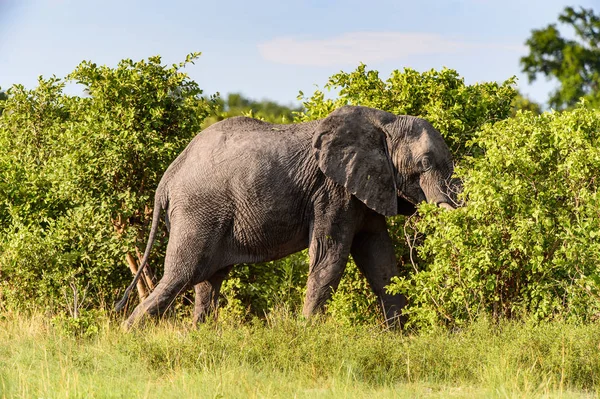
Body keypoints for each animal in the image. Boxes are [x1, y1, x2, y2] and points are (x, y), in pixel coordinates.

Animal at [115, 104, 458, 330]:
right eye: (425, 163)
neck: (386, 122)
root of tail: (167, 177)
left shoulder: (367, 188)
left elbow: (380, 260)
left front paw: (398, 337)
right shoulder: (332, 190)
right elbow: (329, 258)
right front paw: (308, 333)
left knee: (207, 282)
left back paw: (199, 334)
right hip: (198, 210)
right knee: (181, 275)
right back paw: (127, 336)